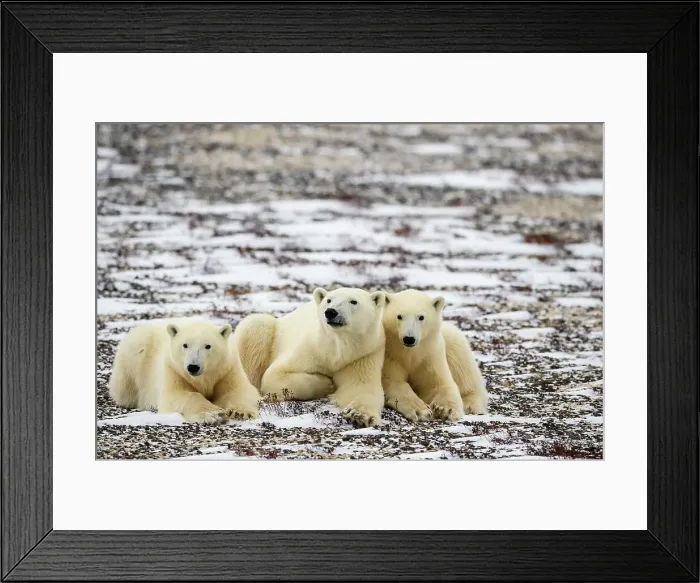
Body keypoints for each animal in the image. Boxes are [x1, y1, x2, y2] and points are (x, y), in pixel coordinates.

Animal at [108, 318, 260, 424]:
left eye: (208, 346)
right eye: (185, 345)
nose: (193, 367)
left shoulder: (227, 369)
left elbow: (238, 390)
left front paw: (240, 412)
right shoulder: (174, 369)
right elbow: (180, 395)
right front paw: (214, 414)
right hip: (136, 353)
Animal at [235, 287, 387, 427]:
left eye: (353, 301)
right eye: (329, 300)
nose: (331, 312)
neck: (336, 349)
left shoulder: (362, 355)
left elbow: (361, 386)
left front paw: (360, 416)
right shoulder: (311, 348)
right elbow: (275, 375)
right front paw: (327, 384)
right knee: (255, 324)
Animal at [381, 289, 488, 422]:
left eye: (421, 317)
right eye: (399, 316)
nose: (409, 338)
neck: (410, 352)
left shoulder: (430, 355)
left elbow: (438, 383)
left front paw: (445, 409)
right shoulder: (391, 356)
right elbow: (394, 382)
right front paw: (421, 410)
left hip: (451, 341)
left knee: (464, 370)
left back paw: (472, 405)